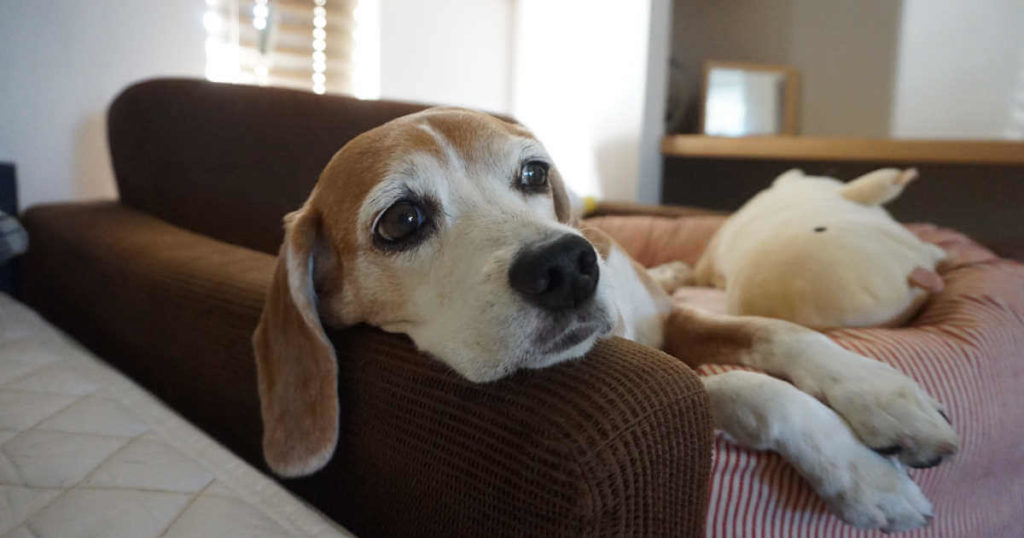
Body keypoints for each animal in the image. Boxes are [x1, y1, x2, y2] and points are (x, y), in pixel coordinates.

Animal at [251, 107, 954, 528]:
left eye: (533, 172)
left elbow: (780, 332)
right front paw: (867, 475)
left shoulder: (675, 323)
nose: (567, 265)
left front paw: (886, 400)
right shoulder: (677, 375)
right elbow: (743, 386)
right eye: (401, 220)